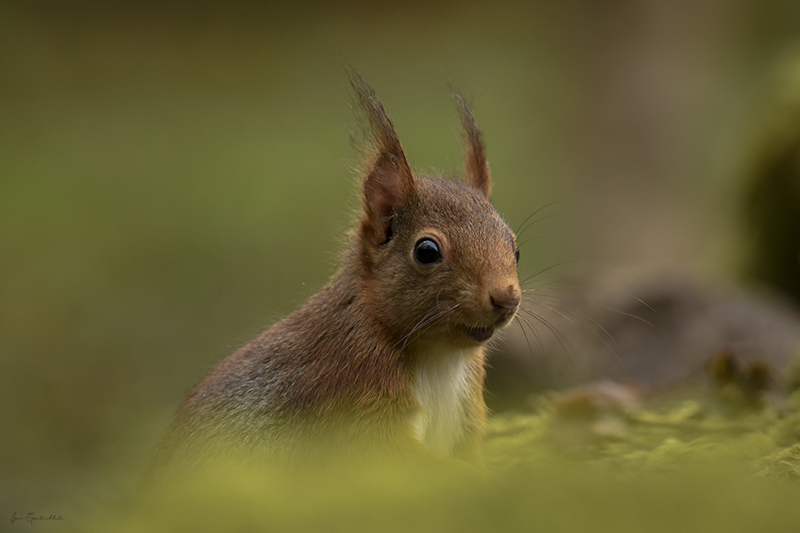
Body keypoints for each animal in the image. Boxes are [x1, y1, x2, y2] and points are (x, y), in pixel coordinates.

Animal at [152, 72, 520, 472]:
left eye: (515, 247)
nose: (506, 298)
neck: (441, 357)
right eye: (426, 251)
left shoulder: (466, 409)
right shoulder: (354, 386)